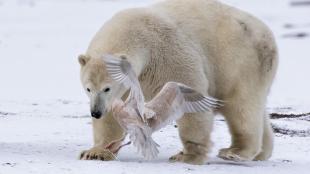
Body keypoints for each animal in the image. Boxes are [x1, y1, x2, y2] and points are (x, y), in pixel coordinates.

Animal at [77, 0, 278, 164]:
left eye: (107, 88)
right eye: (88, 89)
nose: (95, 112)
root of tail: (266, 31)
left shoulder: (166, 54)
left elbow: (189, 95)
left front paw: (188, 155)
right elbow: (114, 114)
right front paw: (97, 152)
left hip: (240, 63)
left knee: (242, 107)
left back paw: (235, 151)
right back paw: (262, 152)